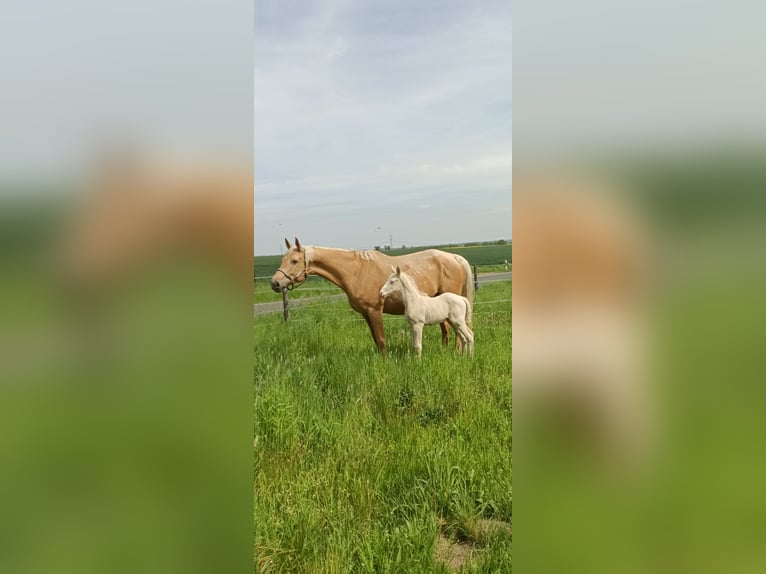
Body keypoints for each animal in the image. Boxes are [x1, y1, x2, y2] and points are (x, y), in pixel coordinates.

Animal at [270, 238, 474, 354]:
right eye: (282, 259)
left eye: (294, 261)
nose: (275, 283)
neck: (356, 270)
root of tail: (456, 258)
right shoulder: (365, 313)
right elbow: (376, 340)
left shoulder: (375, 310)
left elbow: (382, 340)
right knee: (447, 331)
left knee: (457, 333)